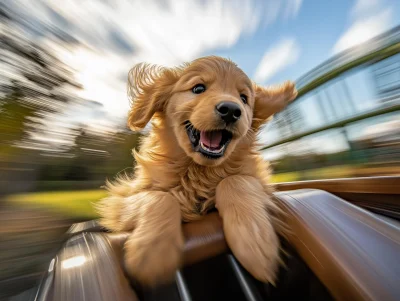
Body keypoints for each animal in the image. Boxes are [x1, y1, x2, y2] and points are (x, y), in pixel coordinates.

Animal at [97, 55, 296, 286]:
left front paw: (254, 242)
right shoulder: (119, 198)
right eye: (198, 88)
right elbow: (160, 197)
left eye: (244, 98)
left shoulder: (258, 180)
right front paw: (153, 251)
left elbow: (235, 181)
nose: (231, 110)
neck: (198, 170)